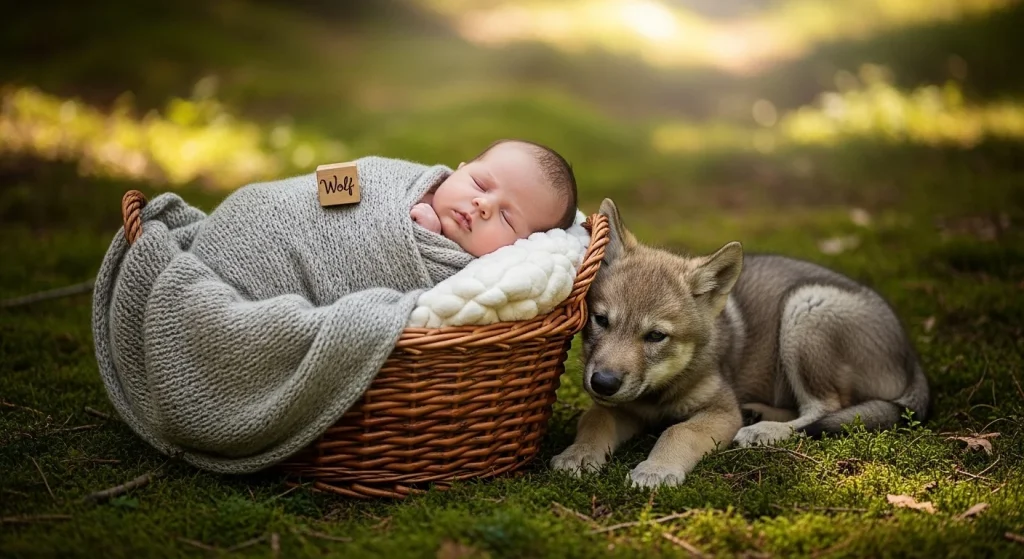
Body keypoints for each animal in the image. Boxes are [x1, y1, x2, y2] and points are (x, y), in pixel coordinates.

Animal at [551, 199, 930, 487]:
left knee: (825, 409)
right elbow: (595, 419)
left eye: (656, 336)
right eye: (601, 320)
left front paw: (656, 469)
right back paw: (759, 413)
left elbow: (677, 432)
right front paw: (578, 454)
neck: (659, 395)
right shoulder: (623, 408)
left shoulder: (720, 412)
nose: (603, 383)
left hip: (804, 309)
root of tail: (912, 359)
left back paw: (764, 431)